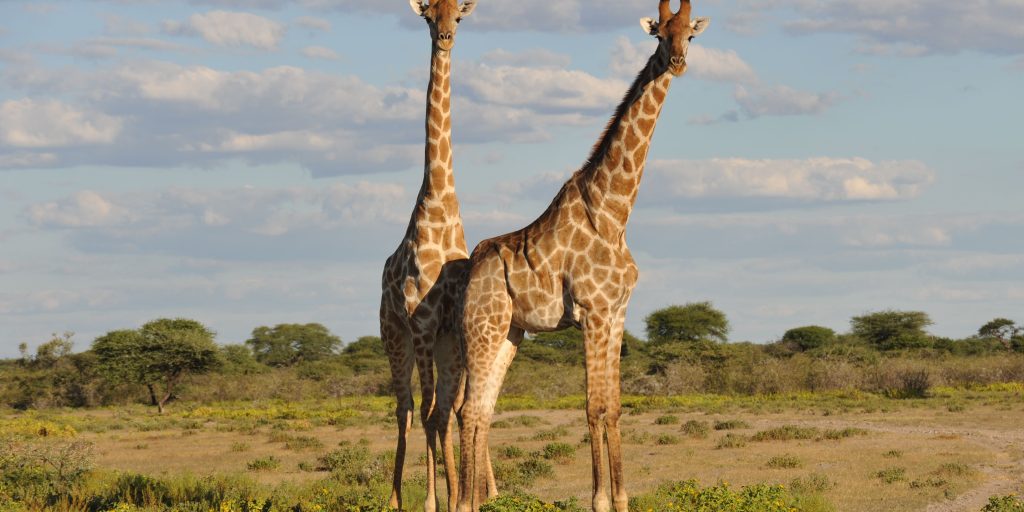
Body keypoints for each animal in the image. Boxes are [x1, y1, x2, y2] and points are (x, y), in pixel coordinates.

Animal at [455, 1, 710, 510]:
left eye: (689, 36)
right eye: (659, 35)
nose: (676, 63)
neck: (613, 211)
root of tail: (473, 267)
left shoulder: (617, 313)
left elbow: (613, 407)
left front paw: (623, 498)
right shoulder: (592, 312)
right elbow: (593, 407)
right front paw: (600, 500)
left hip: (510, 334)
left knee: (483, 410)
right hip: (483, 328)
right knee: (469, 411)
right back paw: (468, 502)